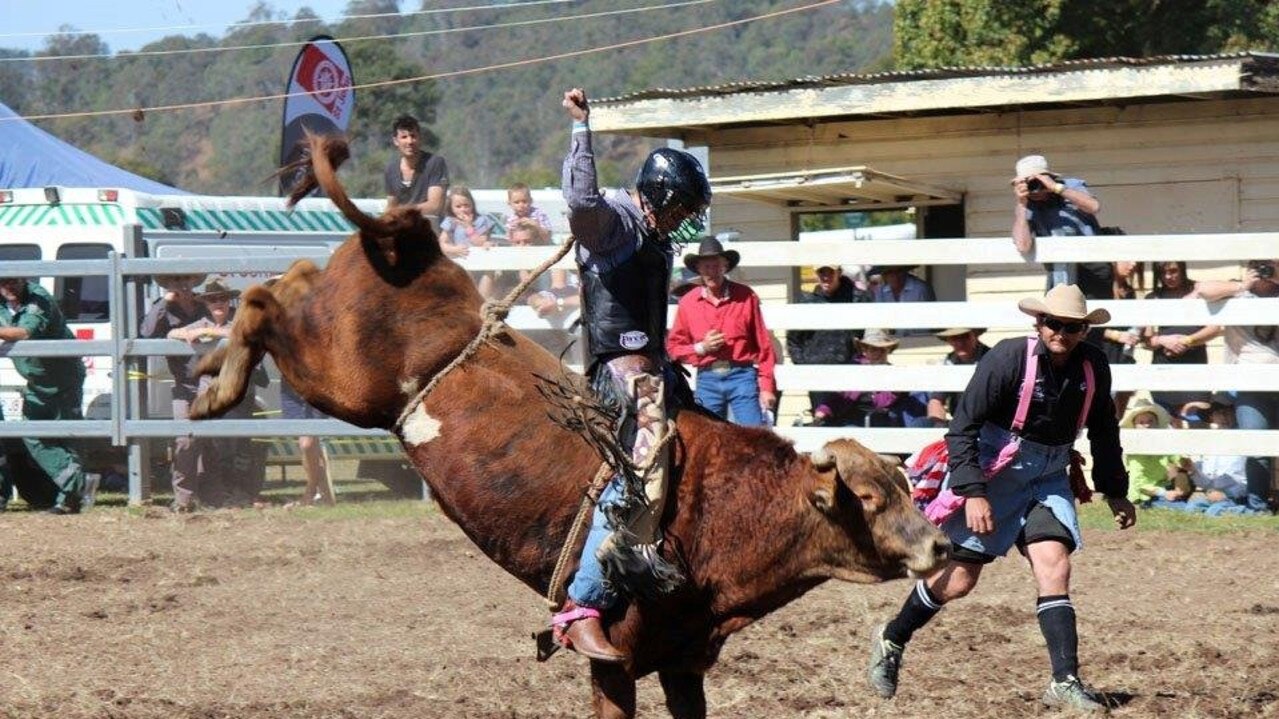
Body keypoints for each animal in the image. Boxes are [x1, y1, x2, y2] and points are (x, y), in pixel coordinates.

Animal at [191, 134, 951, 716]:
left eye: (906, 485)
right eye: (870, 498)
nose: (941, 544)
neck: (727, 504)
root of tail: (411, 240)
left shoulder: (684, 662)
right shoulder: (615, 663)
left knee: (290, 275)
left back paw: (208, 363)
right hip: (339, 374)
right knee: (262, 299)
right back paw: (212, 386)